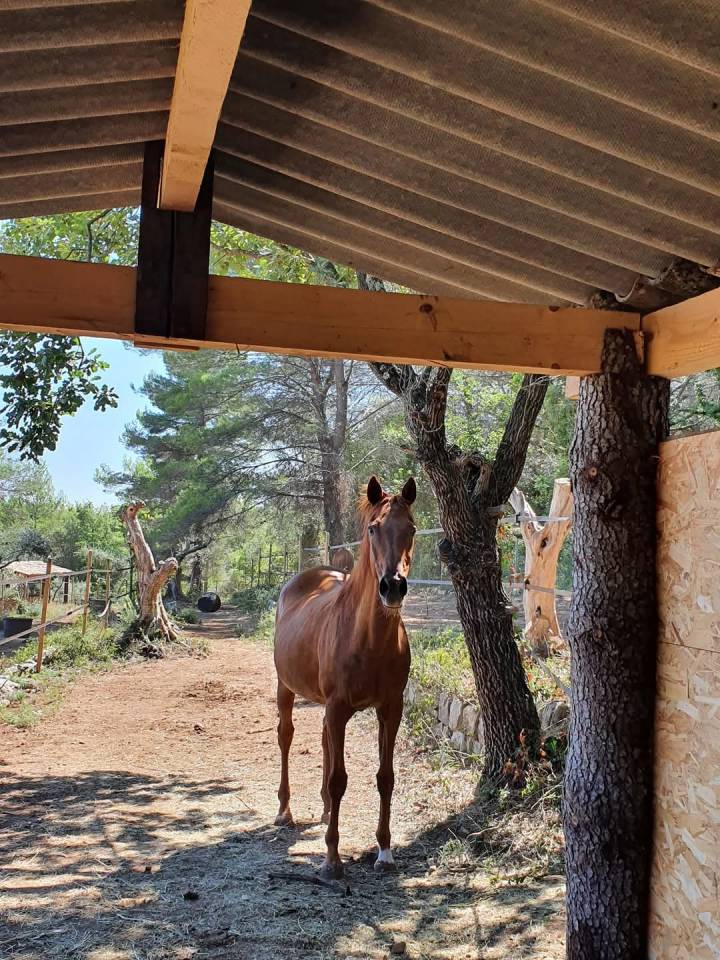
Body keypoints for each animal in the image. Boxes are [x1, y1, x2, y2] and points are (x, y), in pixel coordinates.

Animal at [273, 475, 417, 878]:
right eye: (373, 528)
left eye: (412, 528)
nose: (393, 586)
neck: (365, 637)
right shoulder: (338, 707)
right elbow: (339, 780)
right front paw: (332, 859)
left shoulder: (390, 709)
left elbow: (385, 777)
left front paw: (384, 851)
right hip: (285, 687)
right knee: (286, 738)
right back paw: (285, 811)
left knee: (323, 742)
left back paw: (323, 811)